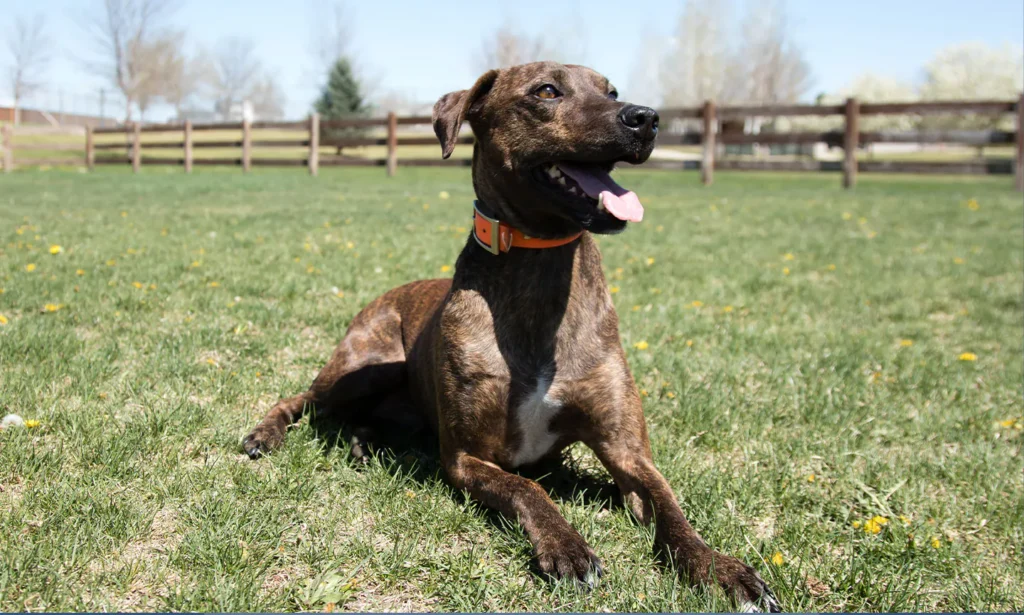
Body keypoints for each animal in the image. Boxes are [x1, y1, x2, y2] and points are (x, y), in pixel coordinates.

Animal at [243, 61, 778, 609]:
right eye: (546, 91)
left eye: (612, 91)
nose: (646, 118)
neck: (541, 268)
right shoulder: (466, 457)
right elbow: (529, 490)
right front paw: (566, 546)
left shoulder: (627, 450)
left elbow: (671, 507)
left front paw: (718, 566)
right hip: (363, 366)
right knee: (303, 398)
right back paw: (266, 435)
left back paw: (365, 443)